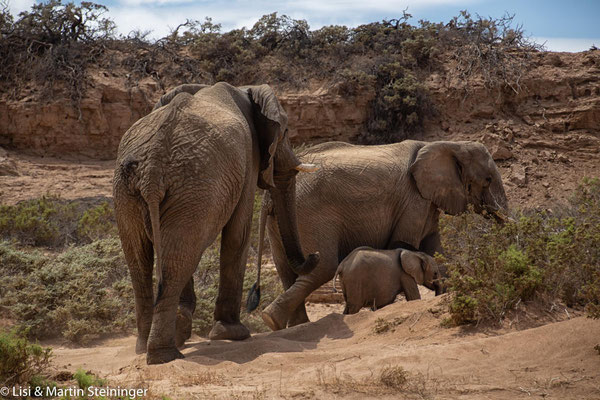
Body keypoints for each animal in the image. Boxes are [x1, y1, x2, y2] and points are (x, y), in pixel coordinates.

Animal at [113, 80, 318, 362]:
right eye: (285, 132)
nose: (314, 255)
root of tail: (153, 164)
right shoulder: (249, 158)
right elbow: (237, 235)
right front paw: (232, 334)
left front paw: (189, 324)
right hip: (192, 185)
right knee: (178, 259)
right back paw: (165, 355)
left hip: (133, 189)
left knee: (143, 260)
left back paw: (146, 346)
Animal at [255, 139, 508, 330]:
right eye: (488, 180)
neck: (448, 144)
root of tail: (268, 197)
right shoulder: (413, 201)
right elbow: (404, 243)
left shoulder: (424, 201)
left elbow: (437, 251)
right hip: (309, 213)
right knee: (322, 266)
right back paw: (273, 321)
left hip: (283, 219)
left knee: (287, 270)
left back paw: (288, 325)